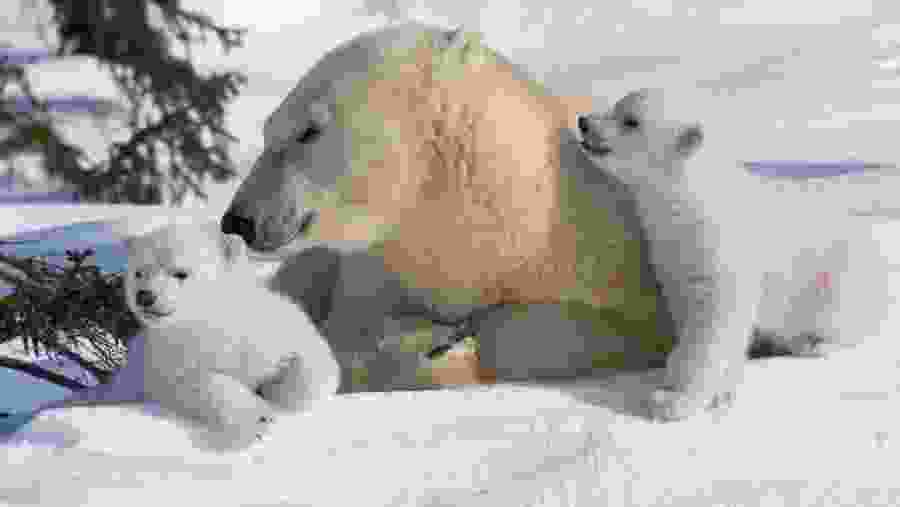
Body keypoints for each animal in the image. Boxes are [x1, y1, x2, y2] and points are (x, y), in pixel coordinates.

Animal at [576, 88, 893, 420]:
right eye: (616, 106)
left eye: (631, 121)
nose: (584, 121)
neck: (690, 205)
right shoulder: (671, 255)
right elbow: (686, 313)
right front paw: (679, 375)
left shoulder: (722, 254)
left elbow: (715, 325)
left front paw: (676, 401)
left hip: (840, 281)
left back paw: (810, 343)